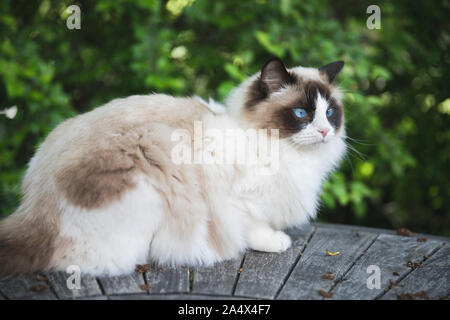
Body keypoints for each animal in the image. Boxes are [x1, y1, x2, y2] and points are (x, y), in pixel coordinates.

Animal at [0, 57, 344, 276]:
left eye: (329, 113)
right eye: (301, 113)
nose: (325, 132)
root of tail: (32, 208)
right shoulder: (238, 201)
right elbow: (254, 227)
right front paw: (276, 242)